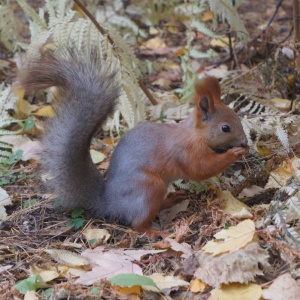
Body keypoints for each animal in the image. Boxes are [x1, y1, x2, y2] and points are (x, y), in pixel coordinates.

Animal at [19, 47, 248, 239]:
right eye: (225, 128)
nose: (245, 143)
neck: (195, 134)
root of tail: (110, 202)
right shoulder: (186, 152)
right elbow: (200, 169)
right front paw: (233, 154)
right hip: (148, 187)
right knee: (137, 223)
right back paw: (154, 232)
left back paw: (172, 199)